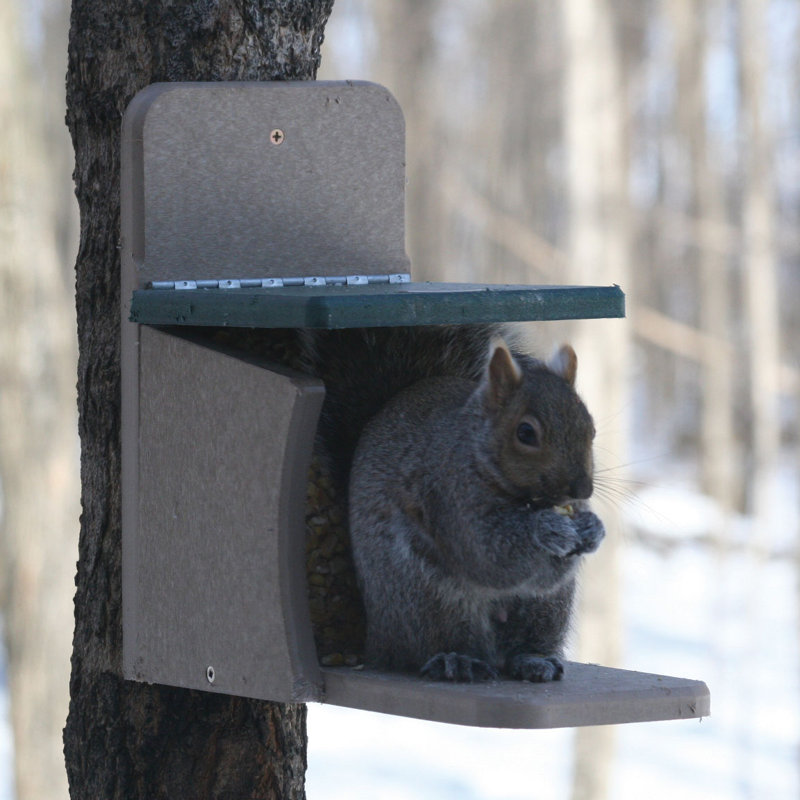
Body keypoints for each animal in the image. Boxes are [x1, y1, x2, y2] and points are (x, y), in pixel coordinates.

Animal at [344, 335, 605, 683]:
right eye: (525, 433)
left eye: (591, 429)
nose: (582, 490)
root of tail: (378, 640)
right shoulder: (448, 493)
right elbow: (487, 555)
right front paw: (546, 529)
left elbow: (545, 576)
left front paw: (593, 529)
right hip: (426, 600)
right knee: (428, 647)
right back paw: (456, 660)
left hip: (547, 609)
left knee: (521, 643)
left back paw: (533, 660)